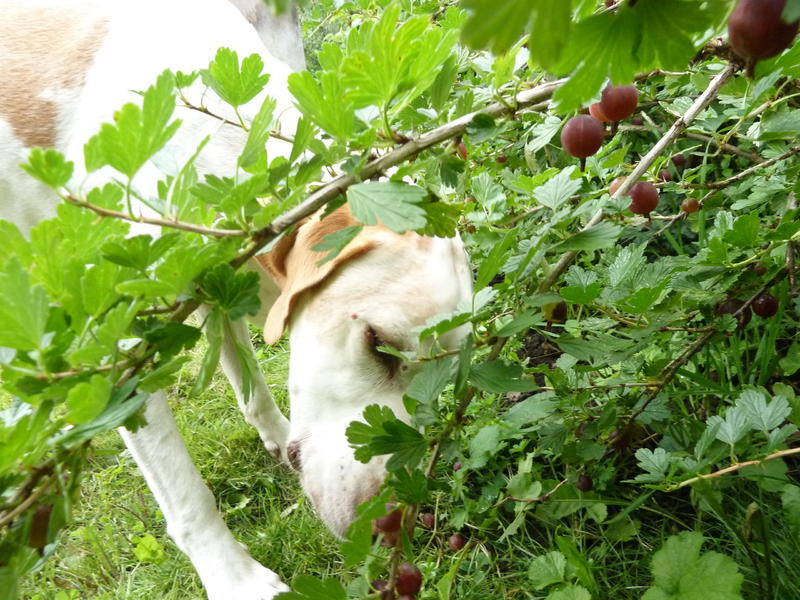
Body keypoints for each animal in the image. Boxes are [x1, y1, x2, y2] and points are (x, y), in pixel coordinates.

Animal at [0, 1, 472, 600]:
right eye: (378, 345)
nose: (387, 525)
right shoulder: (128, 352)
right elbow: (187, 497)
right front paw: (235, 578)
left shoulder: (218, 291)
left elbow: (250, 383)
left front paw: (275, 435)